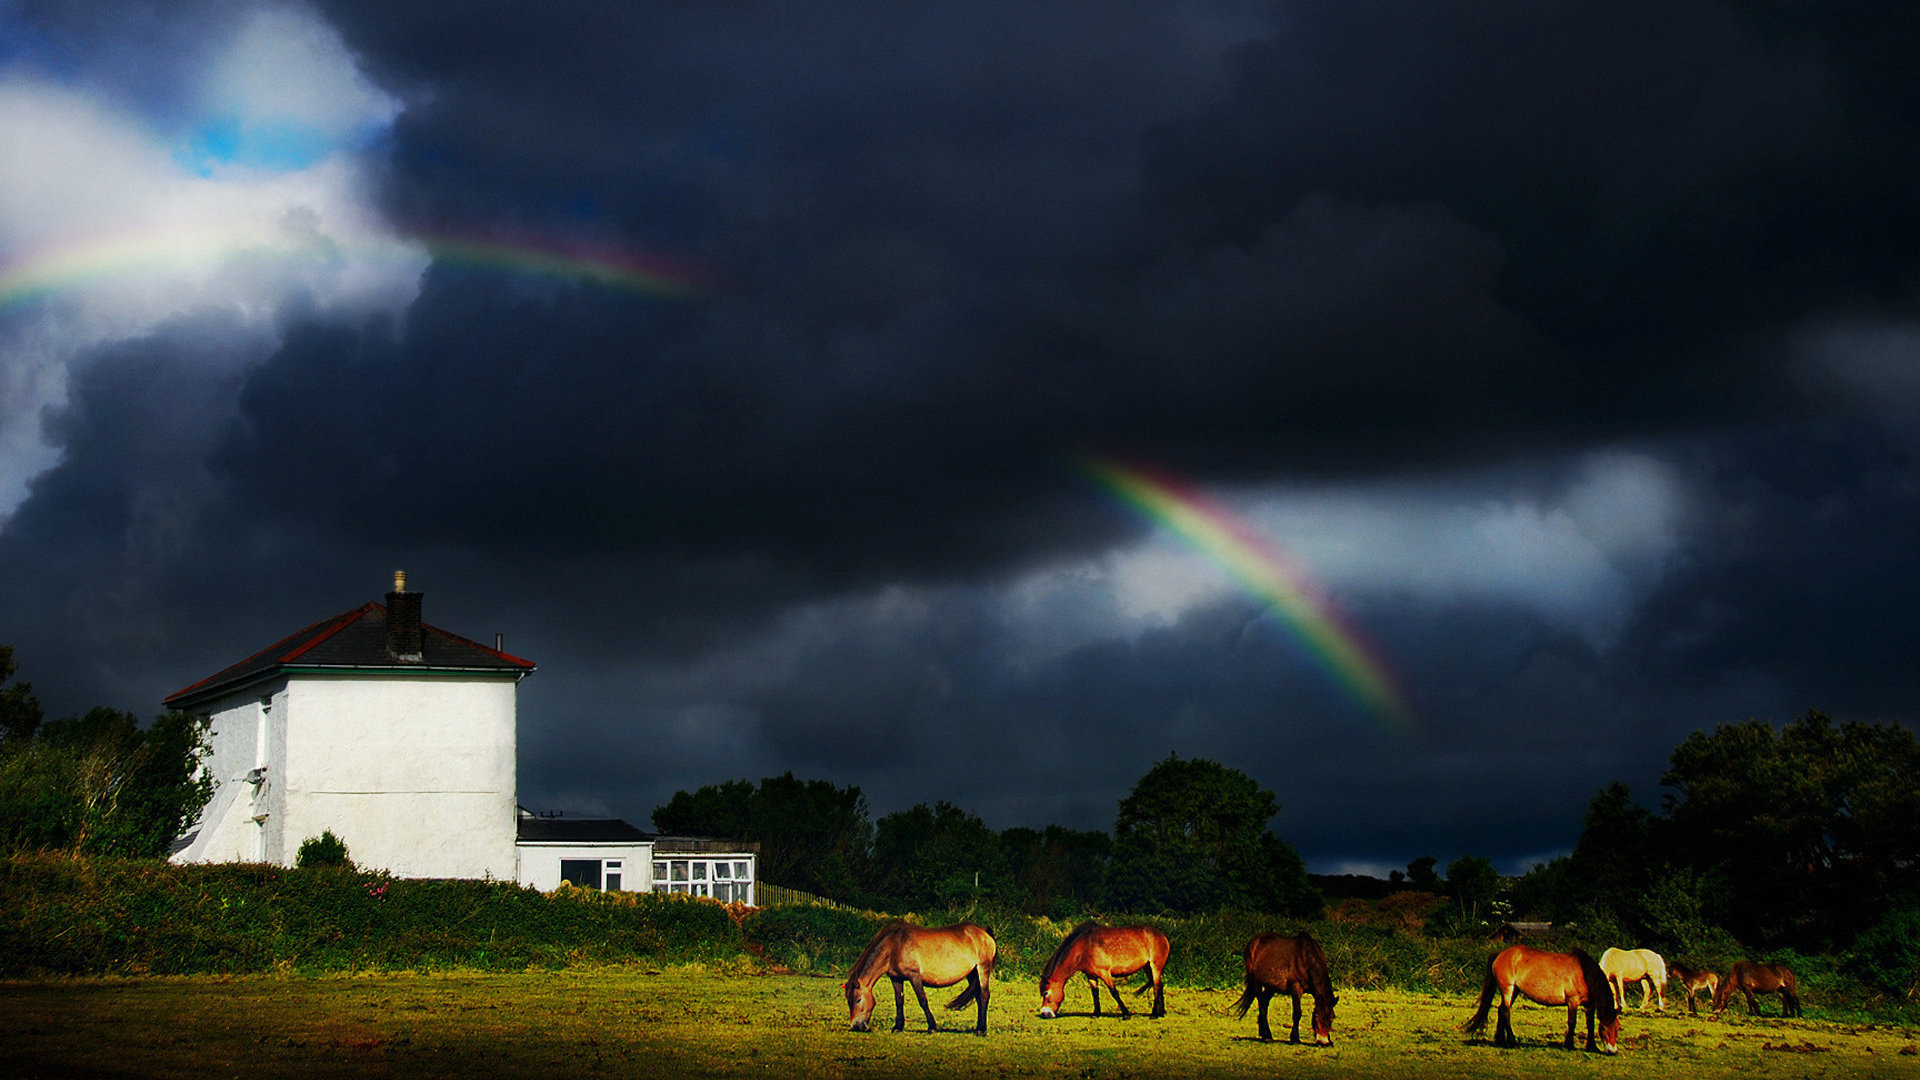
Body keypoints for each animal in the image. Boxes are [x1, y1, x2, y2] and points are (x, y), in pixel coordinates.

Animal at [840, 922, 998, 1030]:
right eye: (848, 1001)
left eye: (858, 999)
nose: (856, 1026)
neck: (894, 945)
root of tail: (984, 933)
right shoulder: (896, 978)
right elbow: (899, 1001)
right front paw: (898, 1027)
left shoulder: (914, 976)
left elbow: (922, 1000)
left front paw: (932, 1027)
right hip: (972, 974)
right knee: (978, 996)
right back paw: (978, 1027)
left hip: (983, 968)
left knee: (984, 995)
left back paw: (981, 1030)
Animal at [1036, 914, 1167, 1014]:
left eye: (1045, 993)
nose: (1044, 1013)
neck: (1085, 946)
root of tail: (1162, 935)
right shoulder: (1091, 975)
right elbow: (1095, 993)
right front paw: (1096, 1013)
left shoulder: (1105, 972)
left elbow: (1114, 992)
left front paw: (1126, 1013)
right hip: (1147, 967)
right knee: (1159, 985)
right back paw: (1162, 1012)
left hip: (1155, 967)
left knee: (1156, 986)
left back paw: (1154, 1014)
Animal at [1466, 941, 1620, 1053]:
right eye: (1604, 1028)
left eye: (1617, 1027)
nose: (1613, 1051)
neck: (1584, 973)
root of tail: (1501, 954)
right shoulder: (1572, 1001)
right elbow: (1572, 1022)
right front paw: (1569, 1045)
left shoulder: (1589, 1004)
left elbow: (1590, 1024)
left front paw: (1592, 1047)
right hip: (1507, 989)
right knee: (1505, 1011)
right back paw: (1512, 1042)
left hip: (1515, 991)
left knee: (1501, 1010)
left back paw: (1501, 1040)